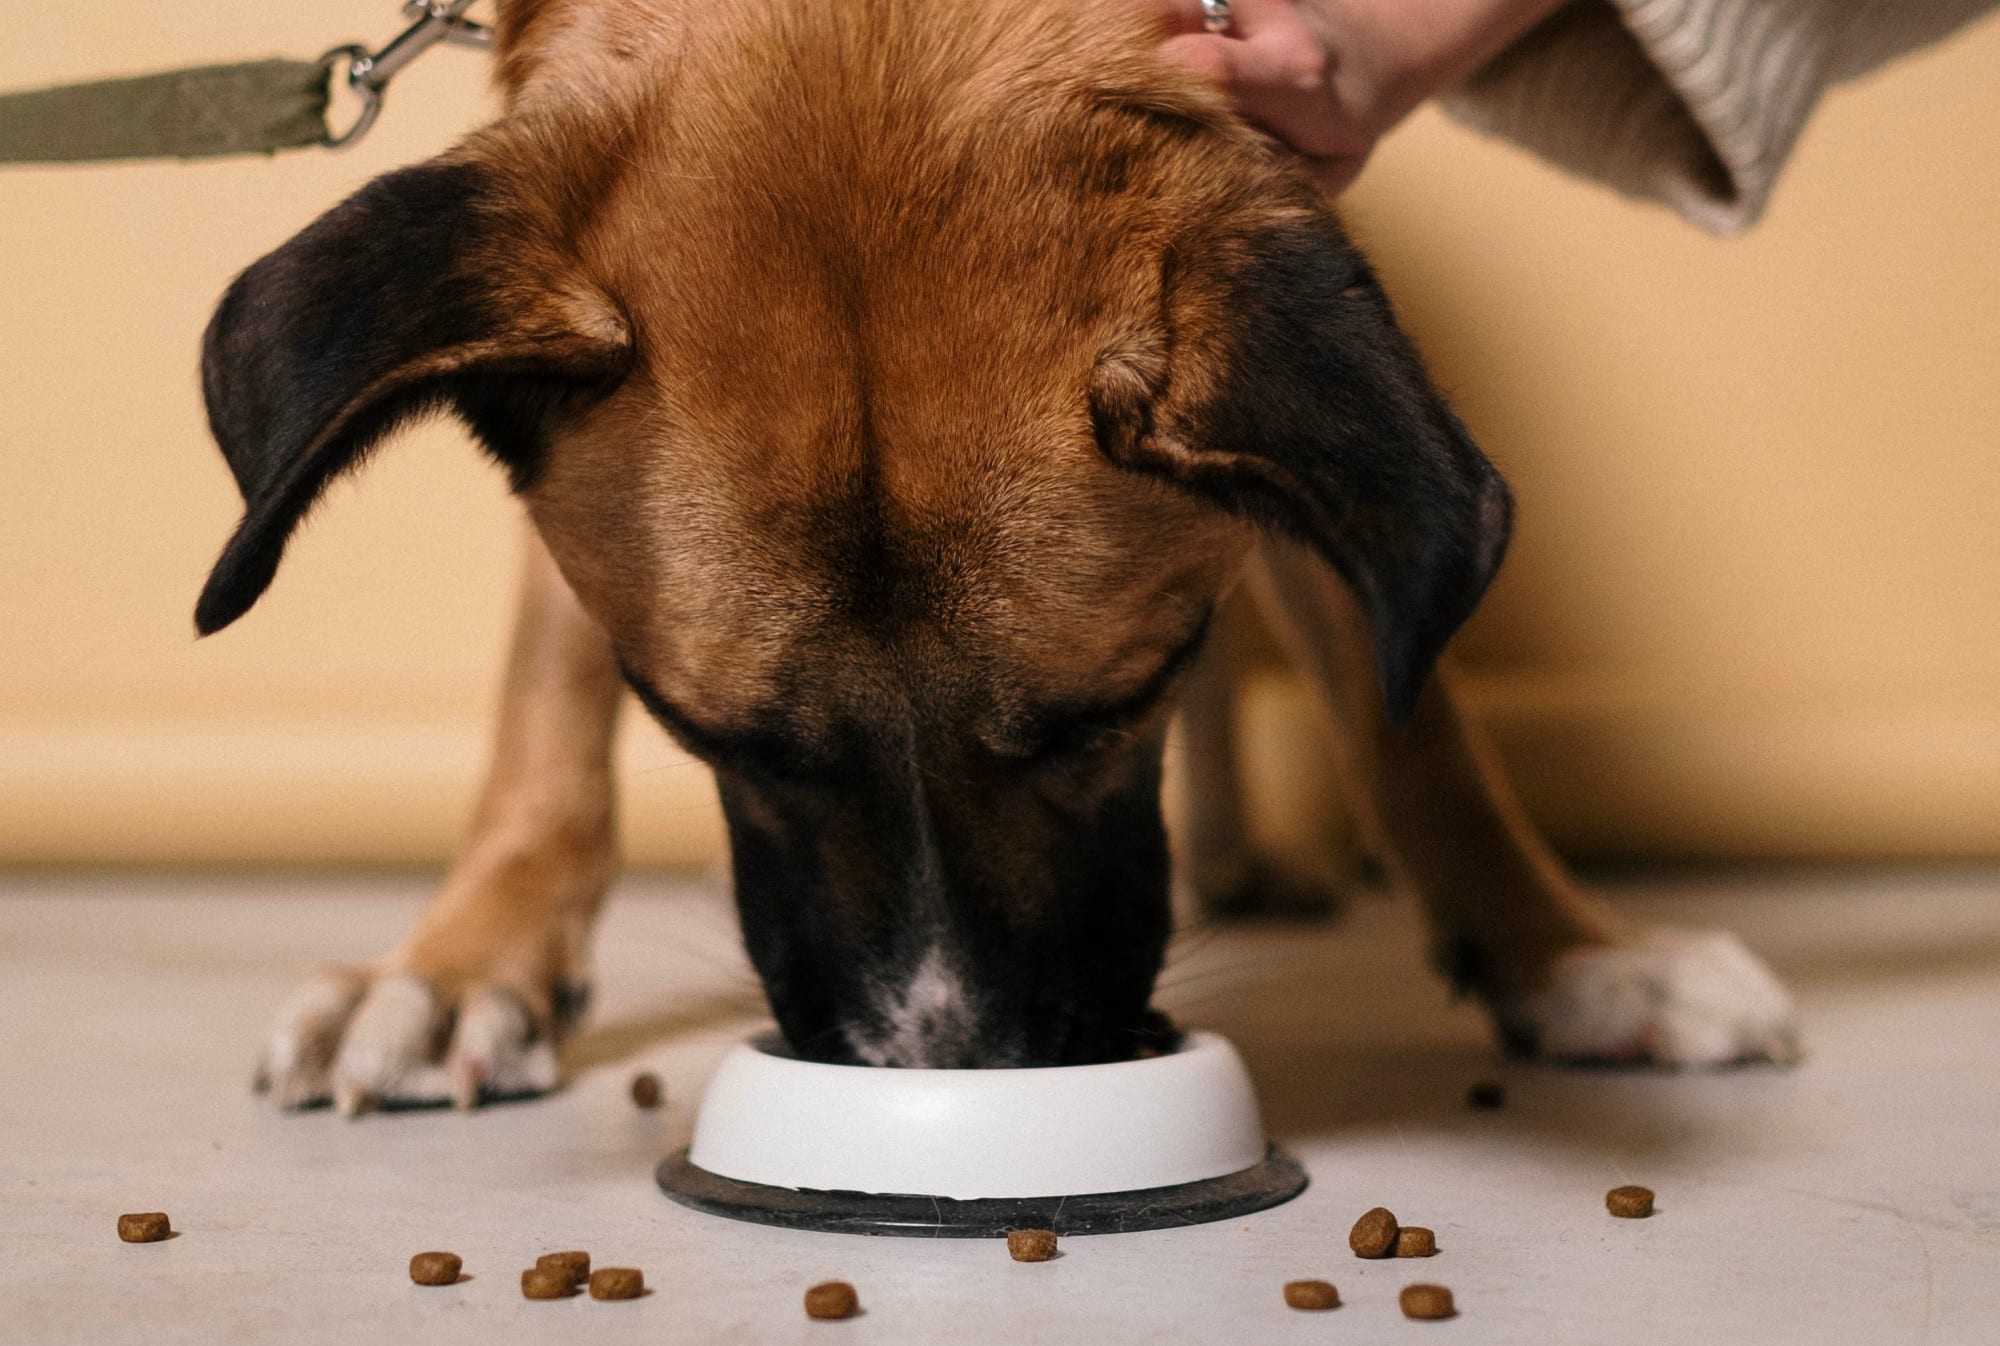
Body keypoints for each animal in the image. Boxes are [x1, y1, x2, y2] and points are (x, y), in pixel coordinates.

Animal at [203, 2, 1800, 1112]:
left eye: (1111, 711)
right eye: (713, 738)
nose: (952, 1067)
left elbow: (1407, 714)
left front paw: (1565, 953)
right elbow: (546, 703)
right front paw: (462, 961)